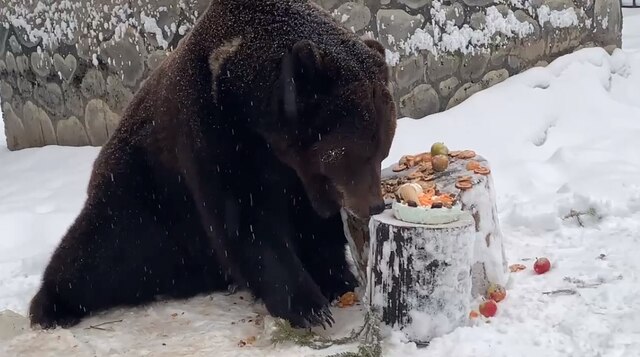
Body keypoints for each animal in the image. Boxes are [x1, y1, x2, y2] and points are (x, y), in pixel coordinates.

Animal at [28, 0, 396, 330]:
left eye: (383, 150)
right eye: (357, 154)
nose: (374, 205)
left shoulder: (295, 172)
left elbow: (314, 222)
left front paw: (336, 279)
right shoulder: (212, 130)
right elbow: (245, 220)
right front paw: (308, 307)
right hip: (142, 198)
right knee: (101, 255)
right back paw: (51, 306)